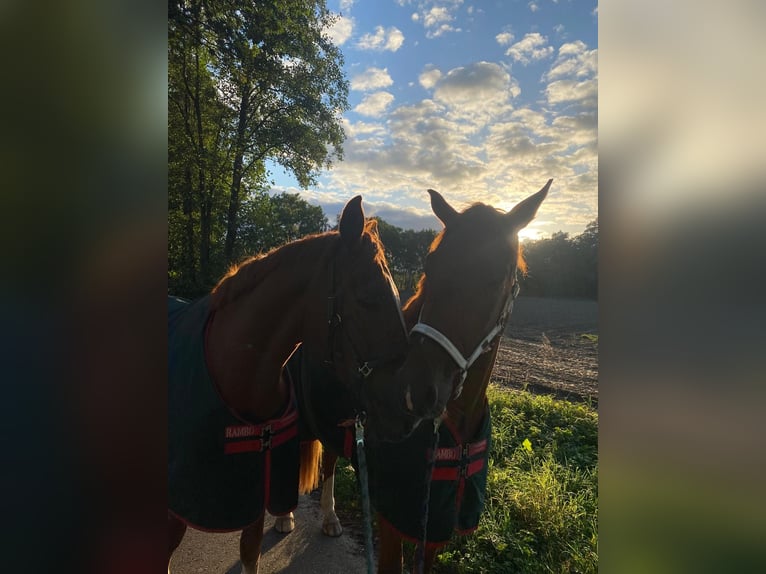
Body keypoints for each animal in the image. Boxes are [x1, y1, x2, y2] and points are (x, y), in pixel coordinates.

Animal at [294, 182, 552, 572]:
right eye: (431, 264)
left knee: (329, 460)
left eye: (501, 274)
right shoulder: (393, 517)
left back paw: (330, 518)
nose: (416, 391)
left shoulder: (434, 523)